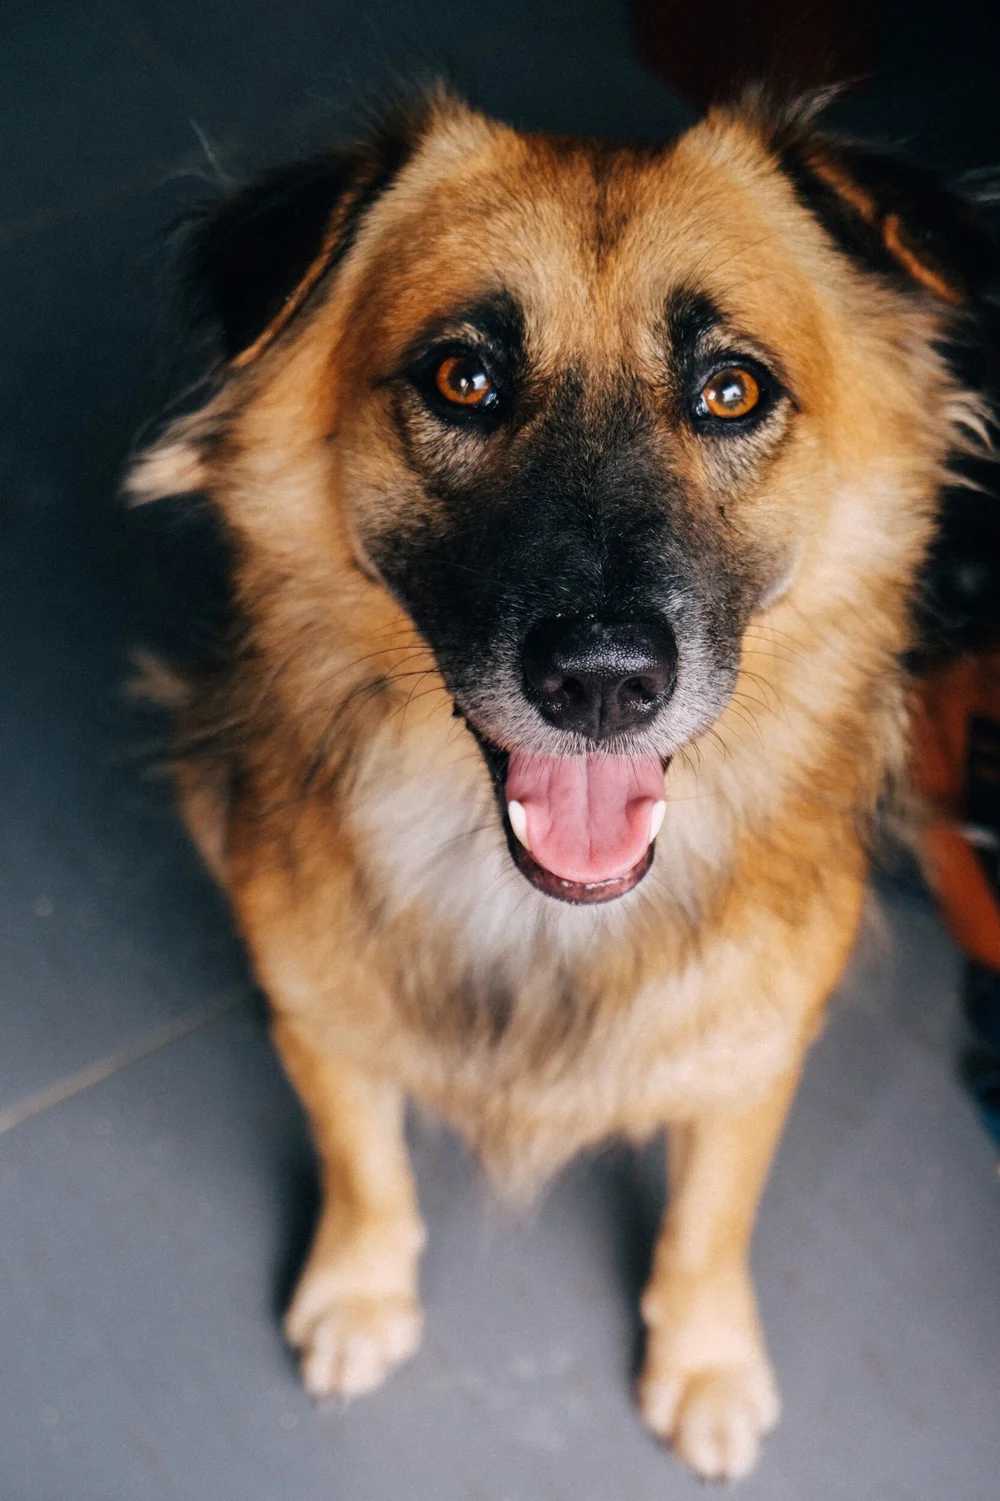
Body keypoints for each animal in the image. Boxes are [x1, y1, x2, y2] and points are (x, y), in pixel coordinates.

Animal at [128, 89, 997, 1480]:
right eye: (463, 377)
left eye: (731, 390)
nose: (599, 681)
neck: (537, 913)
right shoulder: (311, 1010)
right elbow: (363, 1162)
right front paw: (361, 1289)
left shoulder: (754, 1057)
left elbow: (707, 1221)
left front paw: (705, 1360)